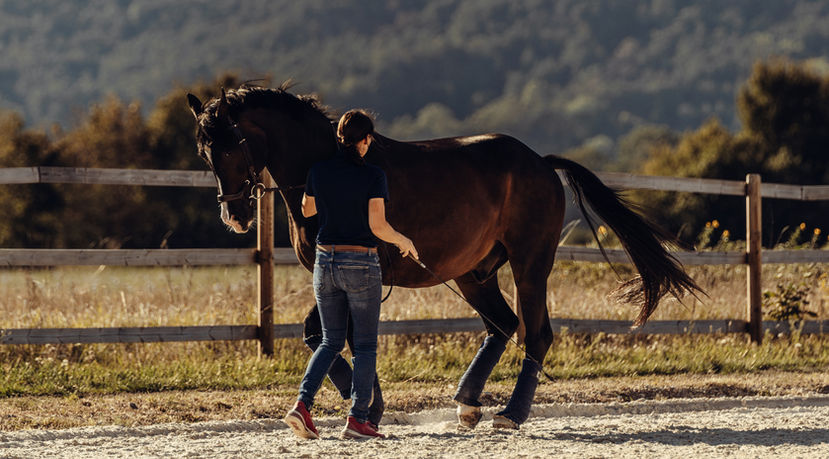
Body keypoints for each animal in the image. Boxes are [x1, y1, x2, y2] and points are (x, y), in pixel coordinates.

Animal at [186, 84, 701, 429]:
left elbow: (342, 335)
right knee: (502, 325)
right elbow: (325, 336)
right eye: (204, 151)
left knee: (535, 334)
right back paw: (468, 404)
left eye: (232, 145)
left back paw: (510, 414)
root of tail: (539, 163)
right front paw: (365, 405)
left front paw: (367, 405)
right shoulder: (328, 272)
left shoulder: (358, 271)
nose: (235, 216)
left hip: (530, 263)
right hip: (475, 273)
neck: (332, 162)